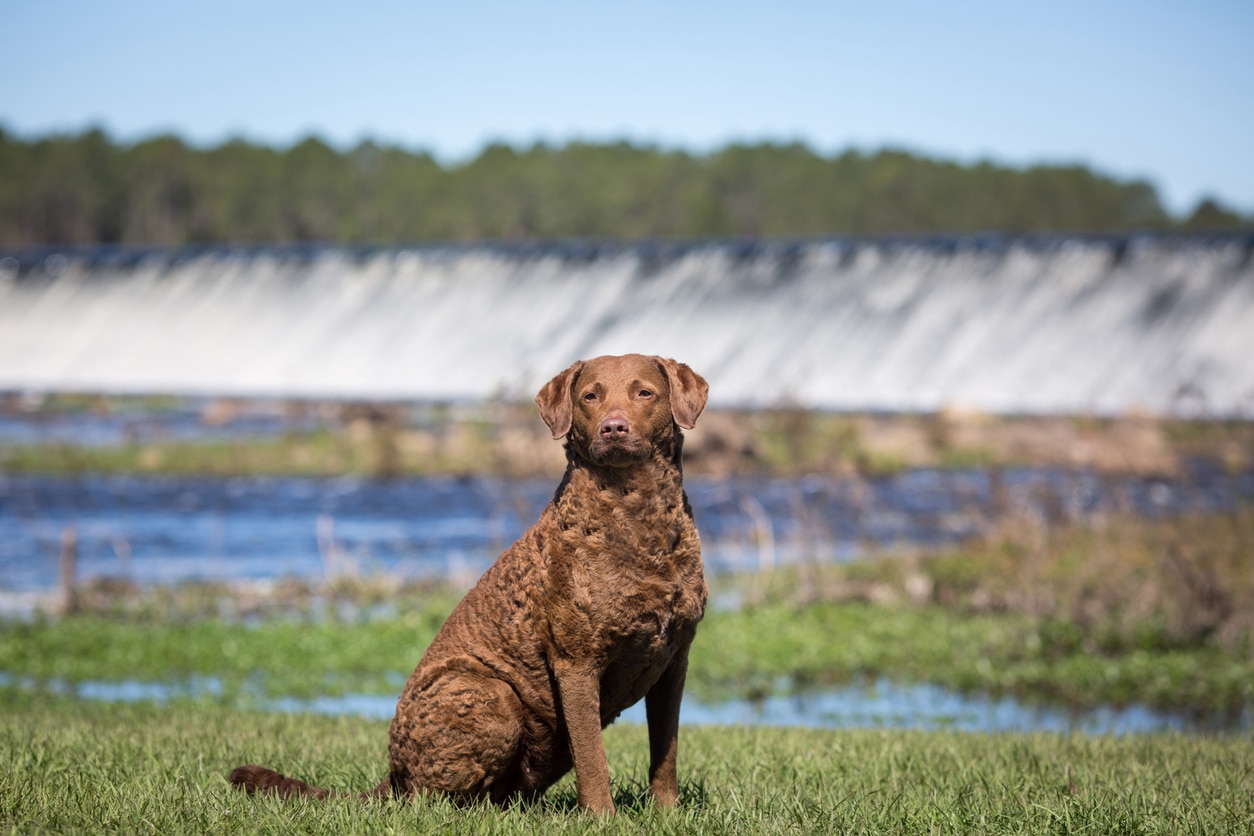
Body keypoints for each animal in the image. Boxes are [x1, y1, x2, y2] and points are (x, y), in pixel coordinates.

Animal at [230, 355, 712, 817]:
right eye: (590, 396)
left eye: (644, 393)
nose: (614, 427)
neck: (637, 520)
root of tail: (393, 773)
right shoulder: (576, 662)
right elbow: (593, 757)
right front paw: (601, 819)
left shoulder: (676, 659)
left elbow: (665, 751)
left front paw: (667, 813)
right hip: (488, 693)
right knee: (432, 799)